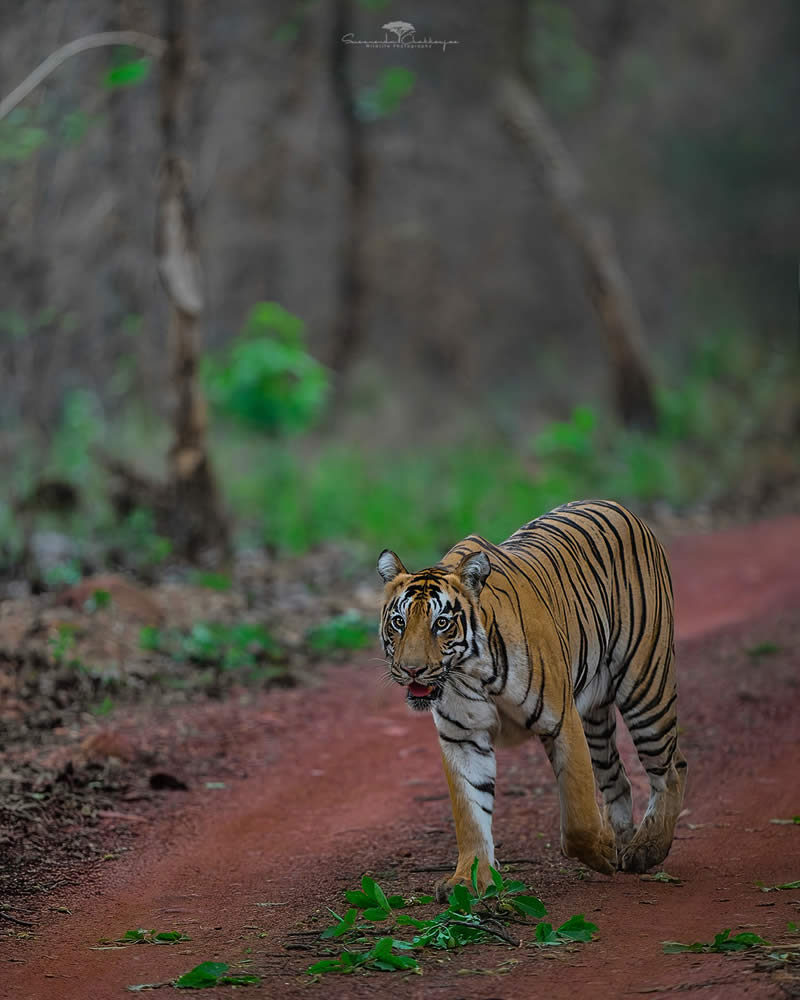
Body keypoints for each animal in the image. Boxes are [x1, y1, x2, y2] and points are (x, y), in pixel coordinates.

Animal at [378, 500, 684, 900]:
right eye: (399, 622)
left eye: (441, 623)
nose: (411, 670)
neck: (470, 670)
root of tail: (619, 506)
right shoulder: (463, 737)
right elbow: (471, 814)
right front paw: (469, 879)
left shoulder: (562, 721)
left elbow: (579, 816)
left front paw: (600, 849)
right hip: (596, 716)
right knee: (619, 778)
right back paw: (624, 840)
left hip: (646, 686)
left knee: (670, 769)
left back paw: (647, 848)